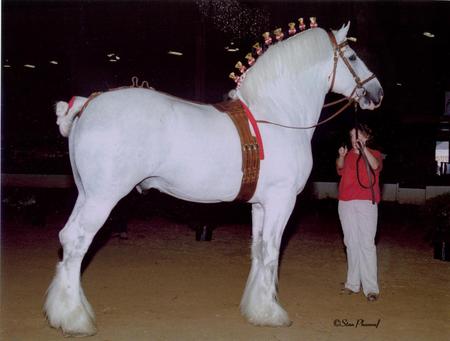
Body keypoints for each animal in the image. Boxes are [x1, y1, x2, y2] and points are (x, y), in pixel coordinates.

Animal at [44, 23, 384, 334]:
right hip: (103, 198)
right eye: (352, 56)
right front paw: (271, 313)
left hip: (86, 195)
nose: (377, 92)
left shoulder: (260, 205)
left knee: (66, 237)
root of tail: (88, 104)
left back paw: (63, 312)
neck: (276, 116)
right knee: (76, 241)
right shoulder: (281, 200)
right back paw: (74, 319)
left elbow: (258, 249)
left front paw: (255, 309)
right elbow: (271, 252)